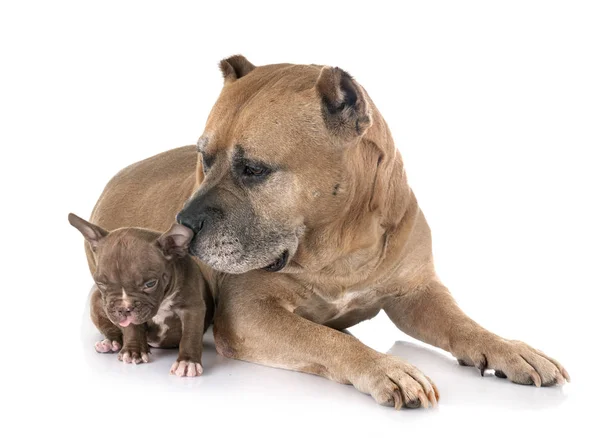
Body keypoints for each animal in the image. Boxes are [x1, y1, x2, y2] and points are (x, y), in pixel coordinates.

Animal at [69, 213, 213, 376]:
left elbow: (190, 335)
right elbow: (132, 328)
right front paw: (133, 351)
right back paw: (110, 342)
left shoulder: (192, 308)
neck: (162, 302)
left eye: (150, 284)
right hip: (96, 302)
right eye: (100, 283)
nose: (123, 309)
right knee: (109, 328)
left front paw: (187, 362)